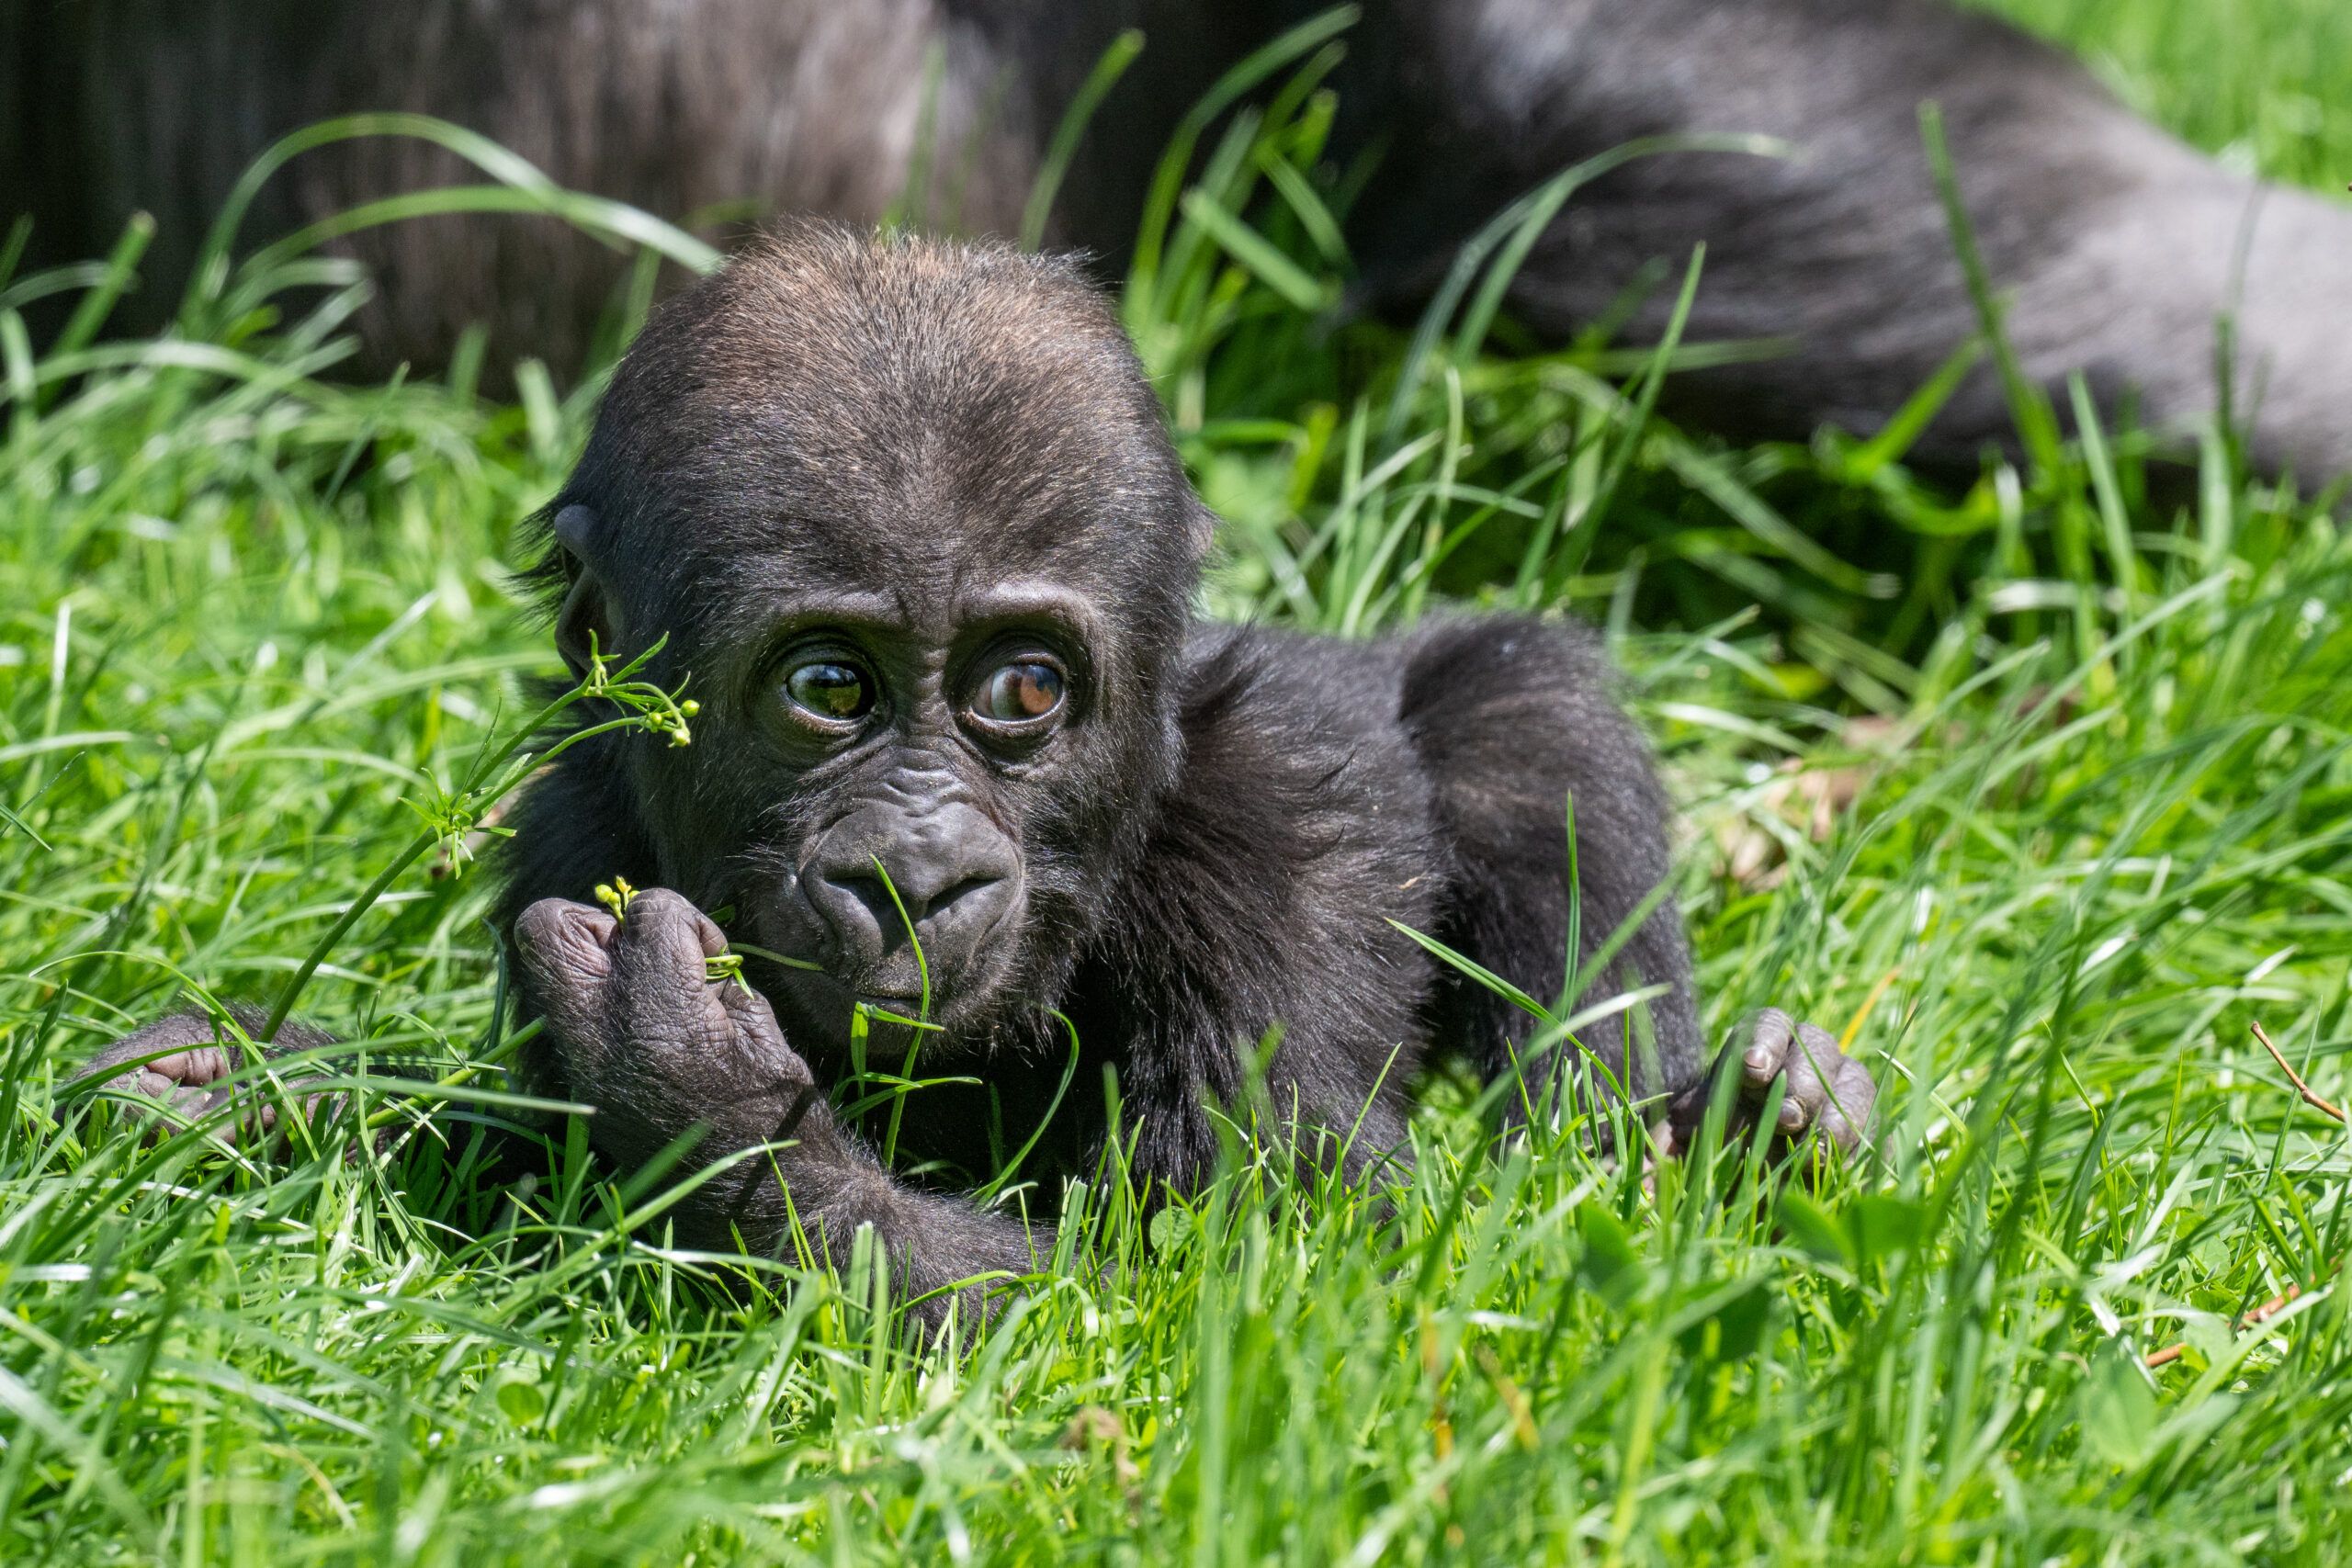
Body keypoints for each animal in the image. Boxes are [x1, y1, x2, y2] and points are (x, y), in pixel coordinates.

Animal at [77, 227, 1874, 1323]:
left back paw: (1731, 1141)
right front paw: (260, 1091)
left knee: (1523, 716)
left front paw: (722, 1116)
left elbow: (1244, 1282)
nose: (920, 876)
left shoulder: (1285, 820)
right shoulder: (577, 811)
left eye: (1024, 688)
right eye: (828, 687)